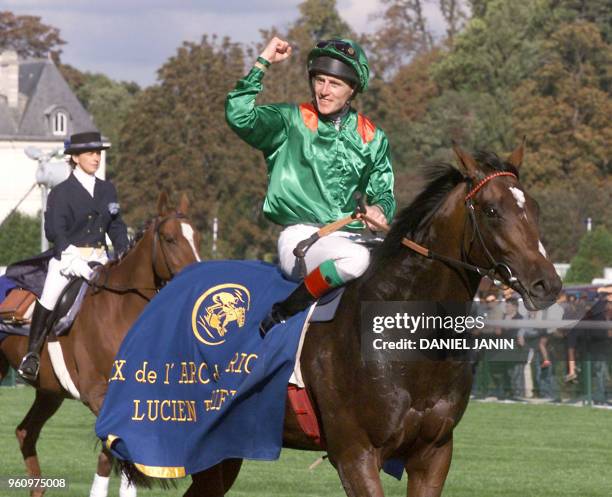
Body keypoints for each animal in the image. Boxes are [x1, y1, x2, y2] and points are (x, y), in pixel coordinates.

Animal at [0, 193, 201, 496]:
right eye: (169, 239)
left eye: (197, 237)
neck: (119, 310)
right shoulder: (97, 394)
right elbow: (112, 452)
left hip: (49, 392)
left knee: (26, 433)